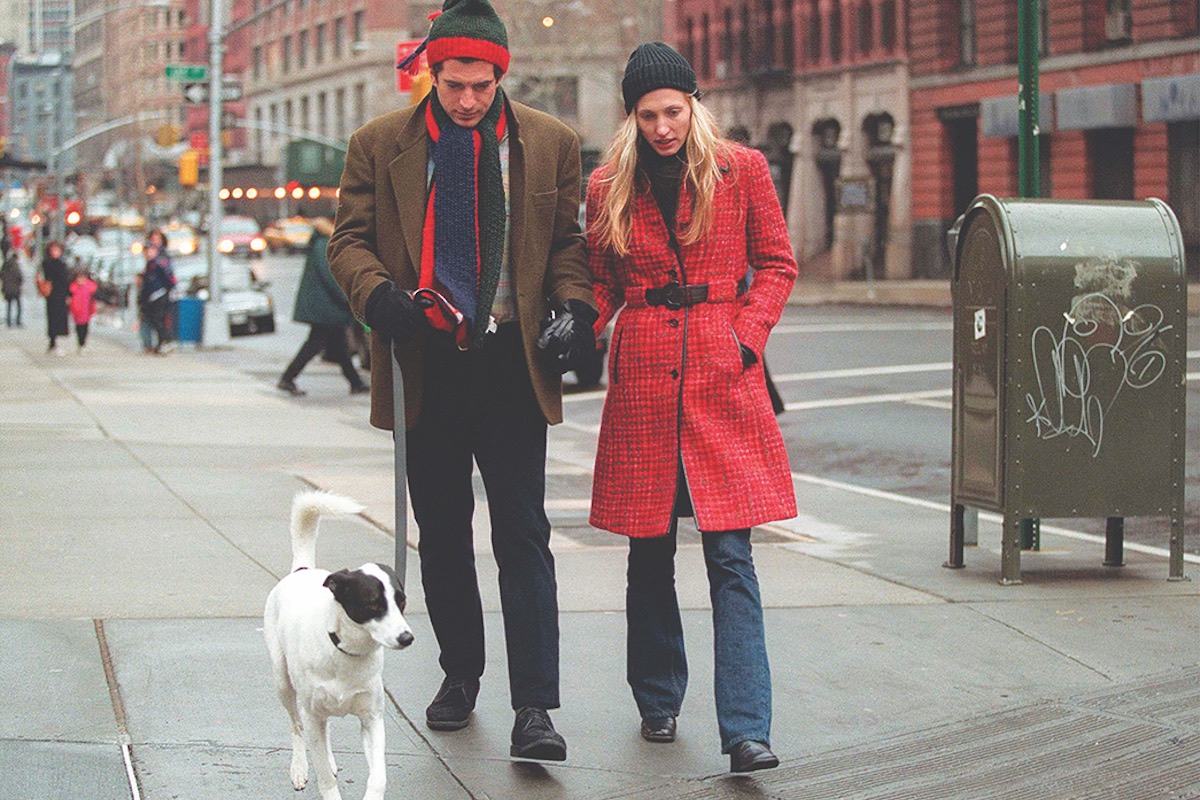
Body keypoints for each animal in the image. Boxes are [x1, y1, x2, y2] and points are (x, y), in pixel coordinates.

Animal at [262, 491, 412, 800]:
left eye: (402, 602)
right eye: (373, 604)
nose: (407, 638)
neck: (346, 652)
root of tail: (302, 570)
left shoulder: (372, 720)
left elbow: (378, 776)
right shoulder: (311, 714)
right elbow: (323, 776)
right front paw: (319, 775)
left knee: (324, 729)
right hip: (283, 681)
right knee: (297, 726)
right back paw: (299, 768)